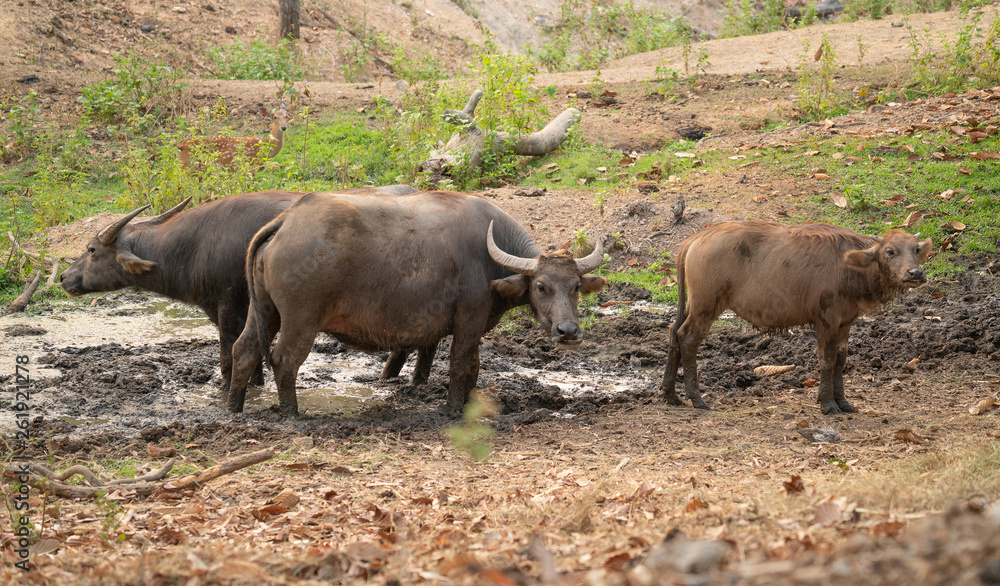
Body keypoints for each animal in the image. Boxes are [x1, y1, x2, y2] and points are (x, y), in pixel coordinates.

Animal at [59, 186, 414, 392]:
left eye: (91, 249)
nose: (63, 277)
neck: (194, 246)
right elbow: (253, 356)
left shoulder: (228, 308)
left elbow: (228, 357)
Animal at [660, 221, 932, 412]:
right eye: (890, 251)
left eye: (916, 249)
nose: (916, 273)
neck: (849, 266)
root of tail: (697, 238)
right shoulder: (826, 320)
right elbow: (827, 360)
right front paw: (827, 404)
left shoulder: (845, 321)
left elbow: (841, 360)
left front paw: (843, 403)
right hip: (706, 305)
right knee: (688, 338)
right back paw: (696, 398)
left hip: (691, 304)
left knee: (674, 332)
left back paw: (670, 395)